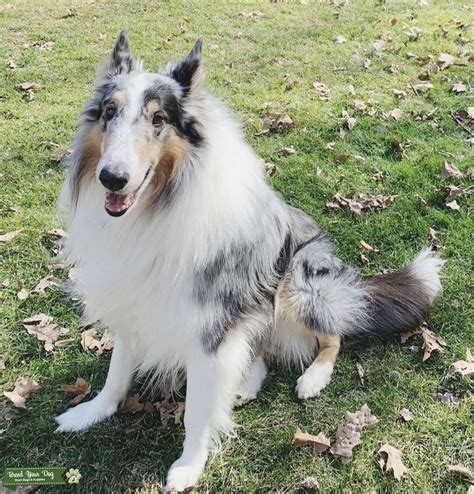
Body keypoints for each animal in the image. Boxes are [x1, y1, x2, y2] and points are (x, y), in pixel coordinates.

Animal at [55, 30, 444, 490]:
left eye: (158, 119)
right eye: (109, 112)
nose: (112, 178)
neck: (154, 211)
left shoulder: (210, 326)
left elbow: (196, 412)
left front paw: (189, 466)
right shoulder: (133, 300)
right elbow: (117, 372)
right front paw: (92, 412)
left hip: (298, 281)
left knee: (334, 333)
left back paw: (312, 378)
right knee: (259, 351)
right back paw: (244, 386)